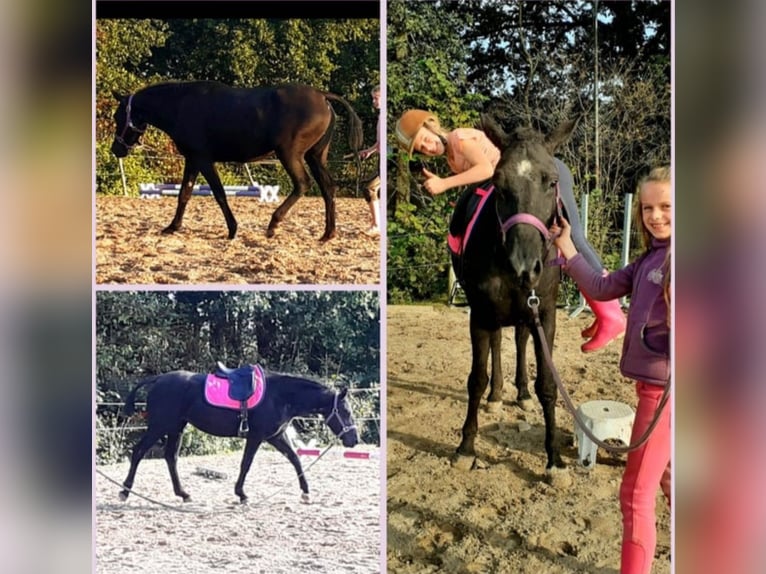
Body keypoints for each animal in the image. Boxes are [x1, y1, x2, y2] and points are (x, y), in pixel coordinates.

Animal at [110, 80, 363, 241]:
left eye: (117, 116)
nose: (116, 149)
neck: (181, 105)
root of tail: (322, 96)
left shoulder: (203, 160)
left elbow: (219, 194)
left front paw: (232, 229)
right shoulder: (192, 160)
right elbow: (184, 194)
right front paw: (173, 227)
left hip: (290, 154)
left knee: (302, 184)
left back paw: (273, 224)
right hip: (314, 156)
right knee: (328, 187)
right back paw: (327, 234)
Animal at [118, 363, 359, 504]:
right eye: (346, 411)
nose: (354, 440)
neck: (279, 395)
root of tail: (157, 379)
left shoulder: (275, 436)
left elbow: (295, 459)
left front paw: (306, 492)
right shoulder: (257, 436)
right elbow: (246, 464)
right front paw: (241, 494)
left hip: (176, 428)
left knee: (170, 458)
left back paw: (183, 494)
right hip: (160, 426)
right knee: (138, 452)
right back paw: (125, 491)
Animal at [448, 114, 577, 473]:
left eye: (551, 181)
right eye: (499, 183)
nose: (523, 265)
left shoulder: (545, 313)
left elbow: (547, 383)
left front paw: (554, 459)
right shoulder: (479, 313)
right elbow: (476, 378)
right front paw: (466, 446)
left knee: (520, 338)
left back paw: (520, 392)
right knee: (497, 343)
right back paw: (497, 395)